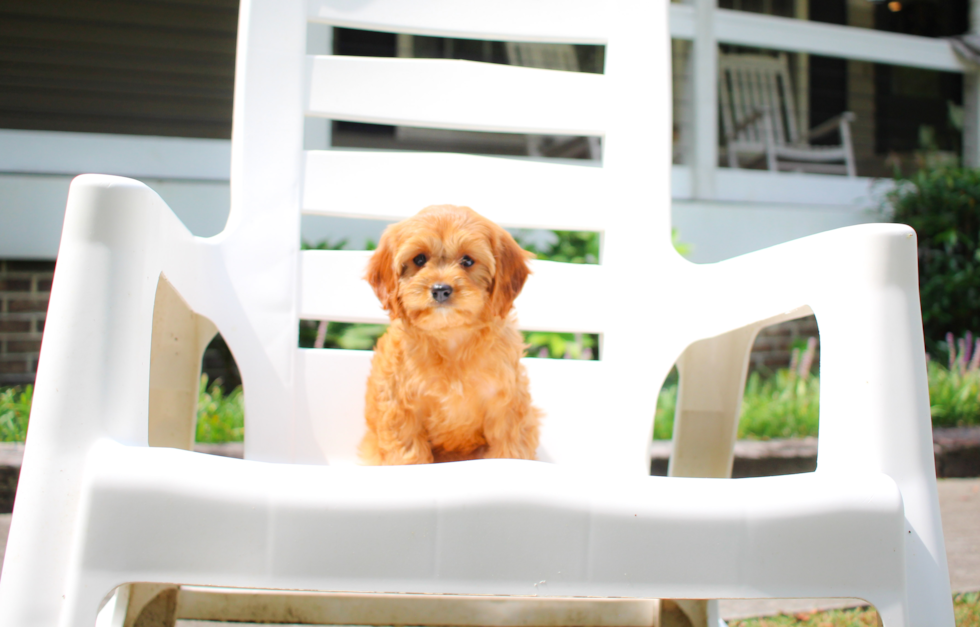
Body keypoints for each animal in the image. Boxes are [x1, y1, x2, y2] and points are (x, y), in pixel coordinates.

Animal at [360, 206, 544, 466]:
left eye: (468, 261)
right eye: (419, 259)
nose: (440, 289)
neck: (451, 338)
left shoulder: (507, 407)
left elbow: (509, 450)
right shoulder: (401, 409)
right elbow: (408, 455)